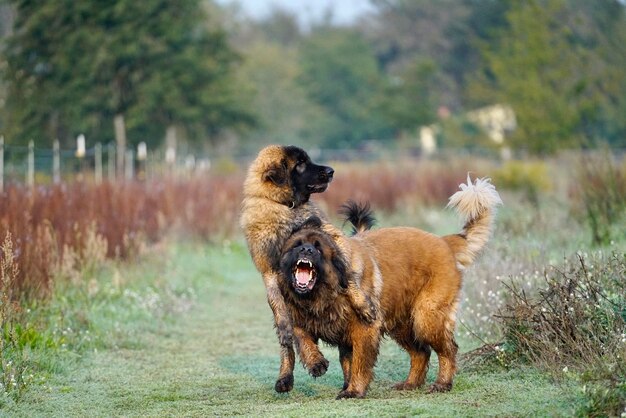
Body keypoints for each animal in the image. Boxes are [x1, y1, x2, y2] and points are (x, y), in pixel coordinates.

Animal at [239, 145, 376, 394]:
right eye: (301, 164)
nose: (331, 171)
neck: (285, 206)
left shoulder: (333, 243)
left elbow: (349, 279)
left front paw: (364, 306)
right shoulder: (269, 272)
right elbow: (286, 322)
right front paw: (311, 360)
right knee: (290, 347)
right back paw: (287, 376)